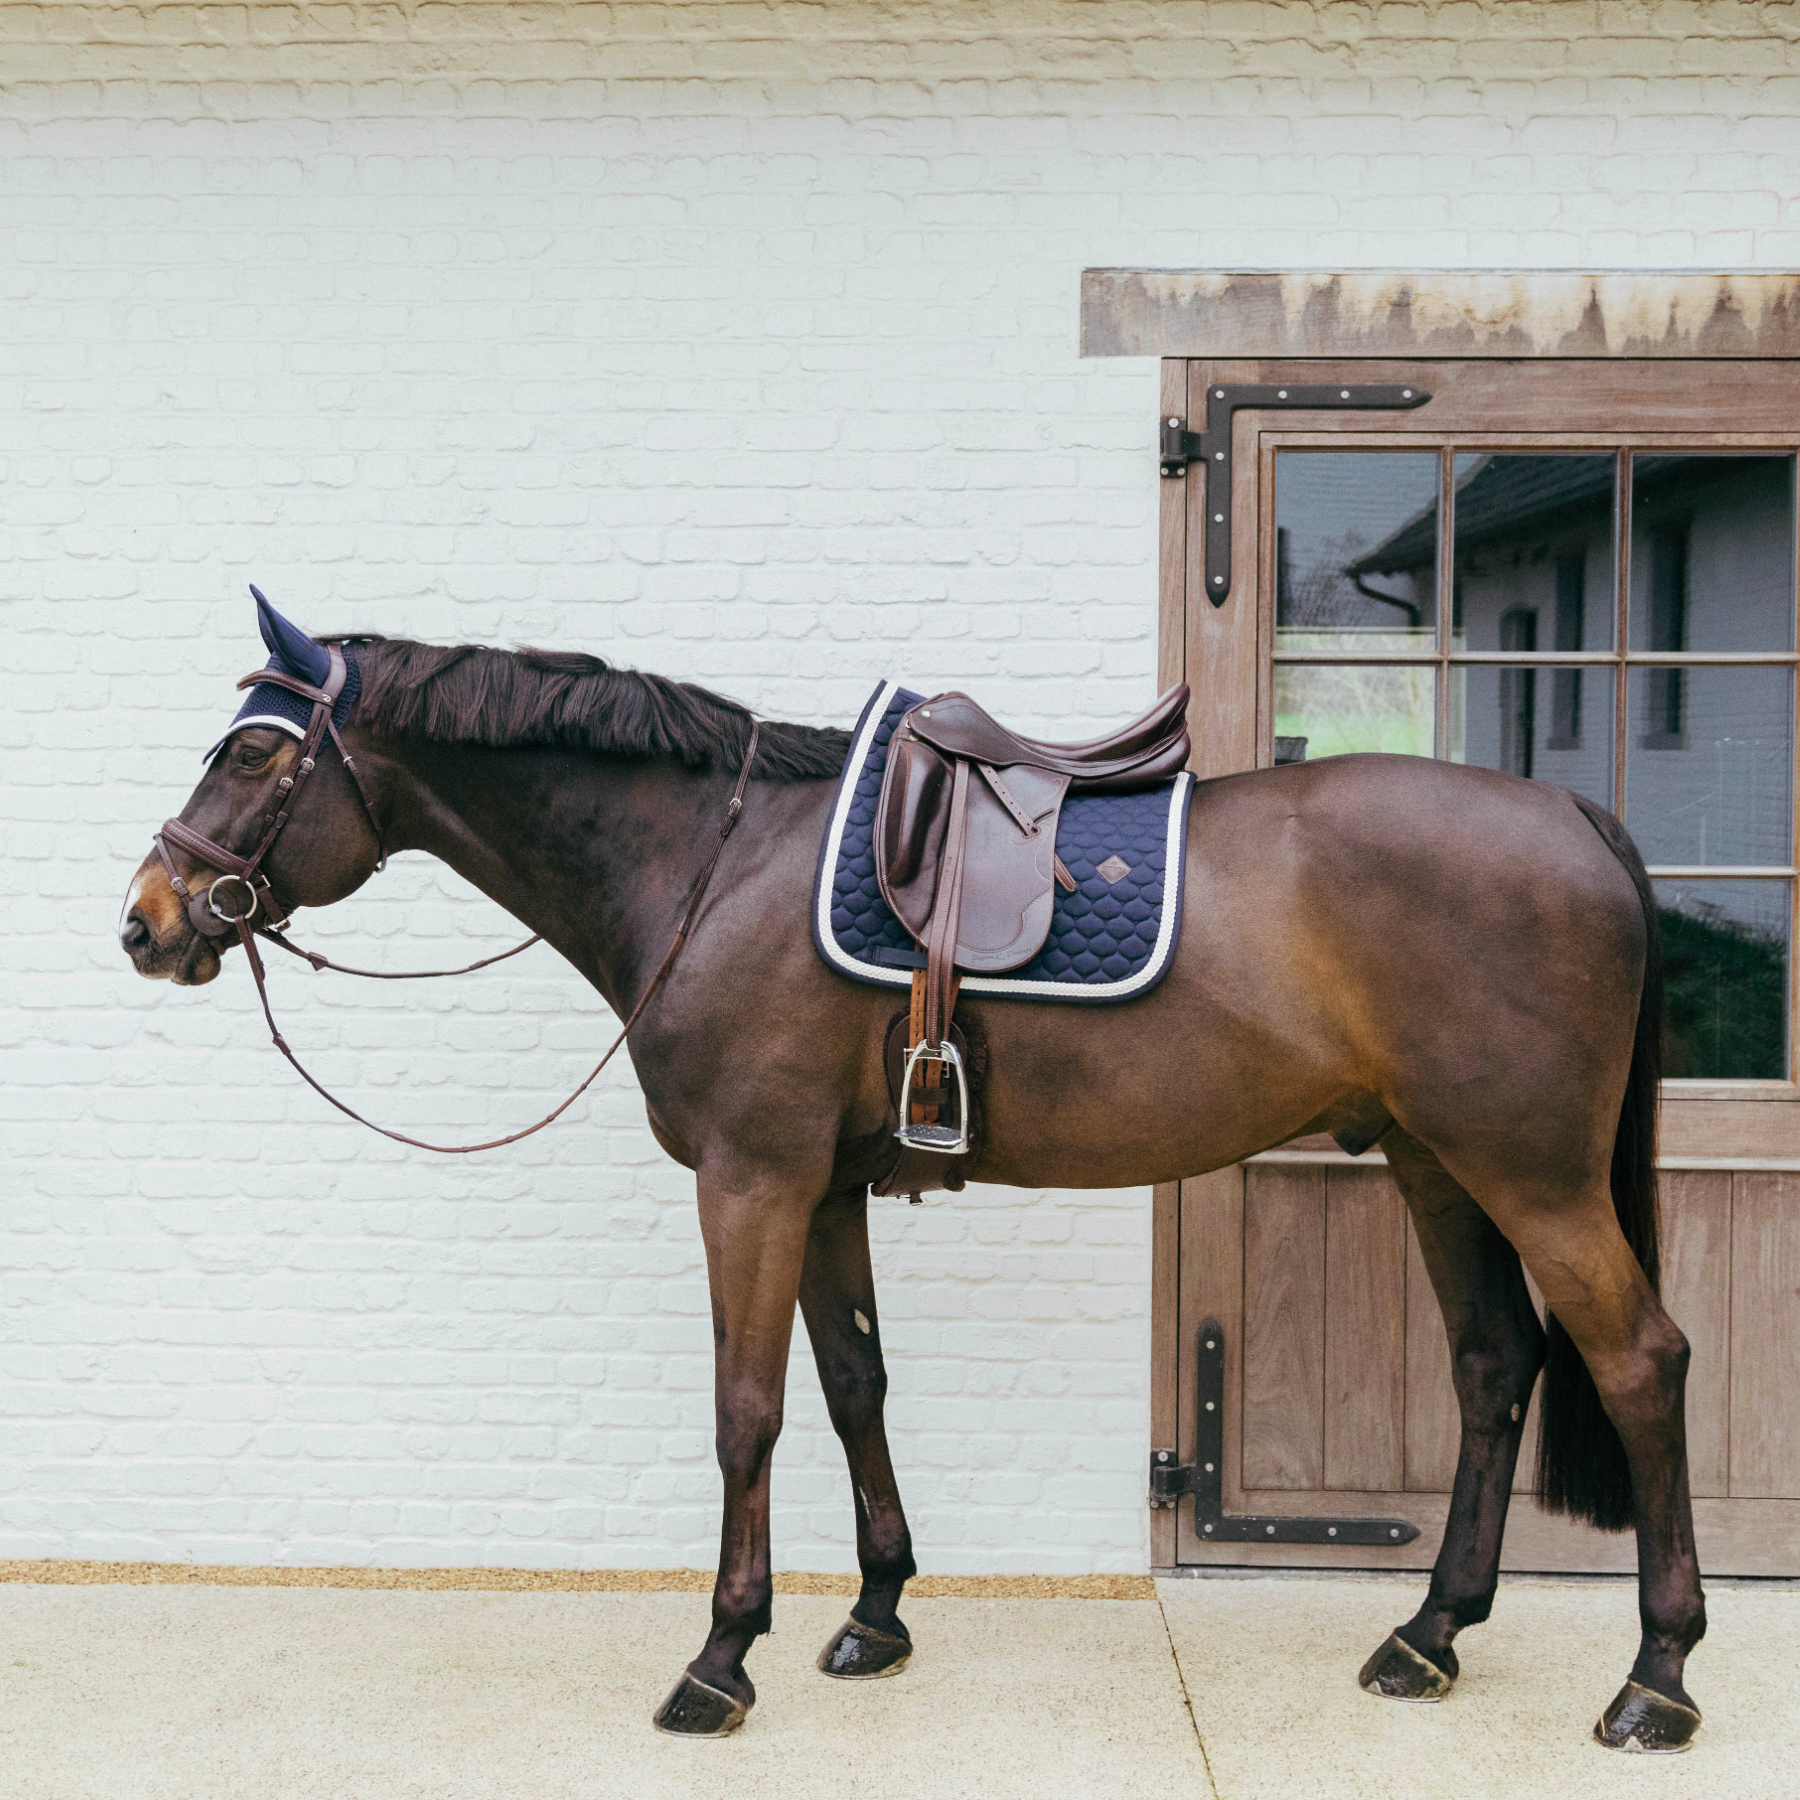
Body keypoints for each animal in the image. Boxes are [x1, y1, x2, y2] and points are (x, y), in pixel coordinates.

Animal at [123, 612, 1699, 1749]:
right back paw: (1429, 1637)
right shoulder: (820, 1190)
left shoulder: (750, 1182)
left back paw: (1657, 1680)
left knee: (1640, 1360)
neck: (713, 866)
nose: (146, 922)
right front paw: (875, 1616)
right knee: (1496, 1366)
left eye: (251, 759)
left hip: (1533, 1174)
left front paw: (720, 1658)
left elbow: (746, 1412)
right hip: (1439, 1163)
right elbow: (853, 1386)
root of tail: (1578, 818)